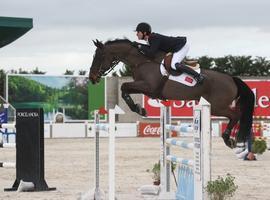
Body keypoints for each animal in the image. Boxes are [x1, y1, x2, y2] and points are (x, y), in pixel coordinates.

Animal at [88, 38, 255, 160]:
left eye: (100, 56)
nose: (92, 78)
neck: (142, 62)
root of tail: (232, 79)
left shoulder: (149, 87)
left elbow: (124, 87)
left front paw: (139, 109)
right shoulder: (144, 87)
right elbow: (124, 90)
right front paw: (140, 109)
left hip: (216, 106)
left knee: (235, 115)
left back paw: (229, 139)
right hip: (216, 106)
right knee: (237, 114)